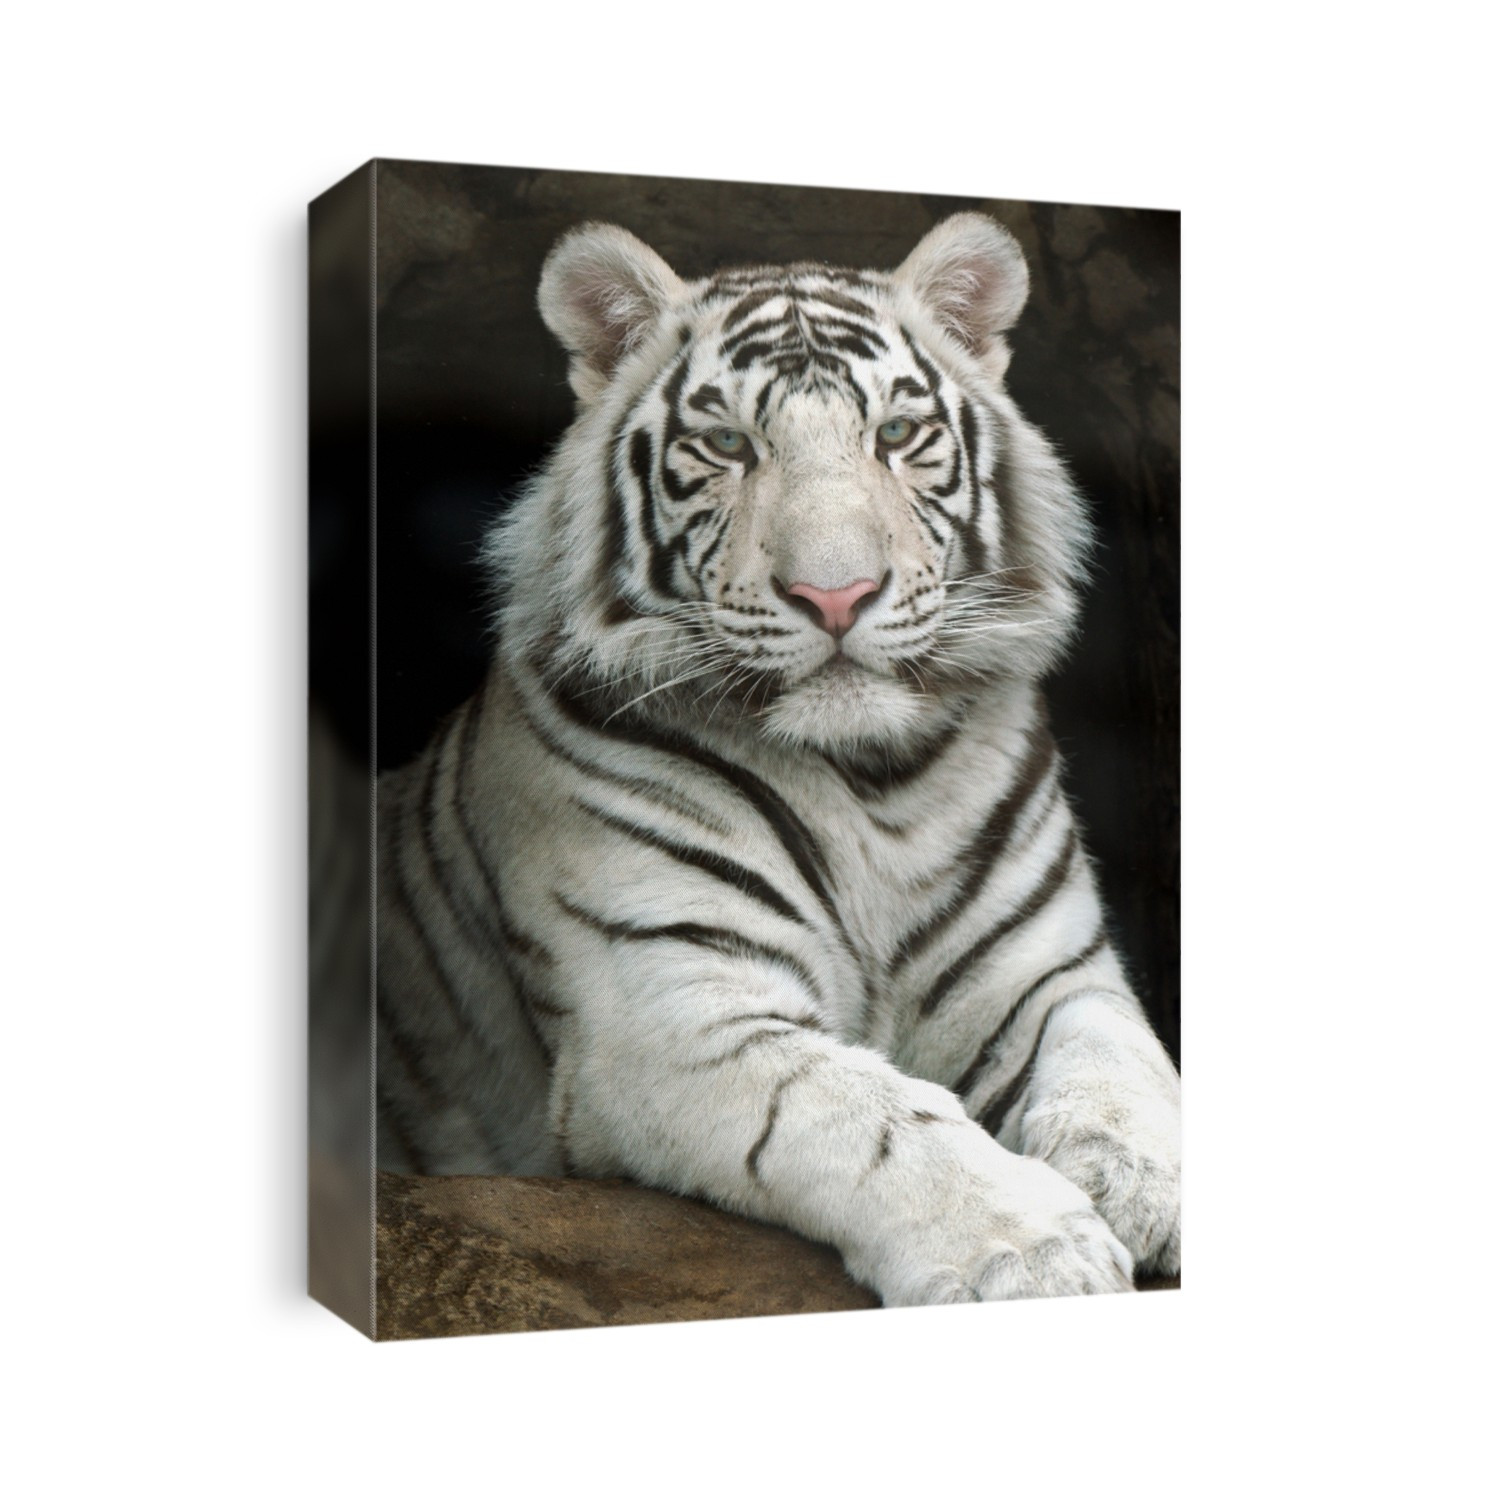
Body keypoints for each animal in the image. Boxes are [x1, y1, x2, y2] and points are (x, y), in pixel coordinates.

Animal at [376, 212, 1181, 1305]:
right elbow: (867, 1117)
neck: (876, 784)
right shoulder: (666, 1007)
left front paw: (1144, 1182)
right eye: (727, 444)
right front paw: (1035, 1254)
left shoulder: (1048, 971)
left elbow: (1121, 1060)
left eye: (896, 435)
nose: (836, 595)